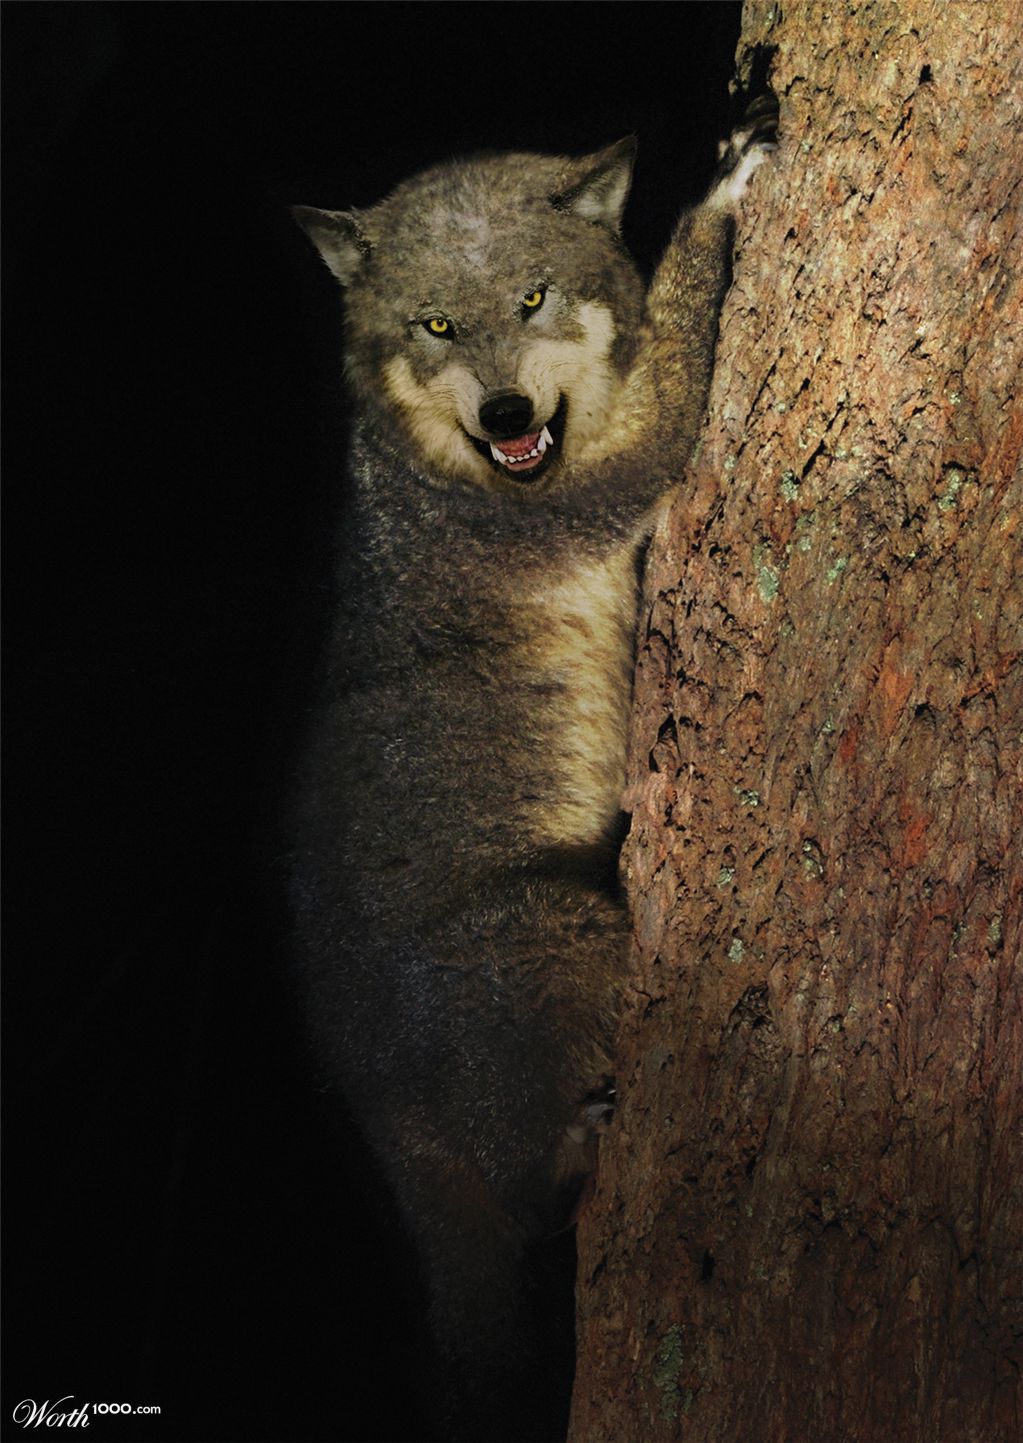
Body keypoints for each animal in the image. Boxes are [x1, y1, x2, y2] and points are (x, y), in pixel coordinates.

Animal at [290, 96, 776, 1441]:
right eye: (436, 326)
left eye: (533, 297)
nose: (508, 417)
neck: (448, 467)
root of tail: (379, 1115)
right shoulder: (574, 499)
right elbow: (674, 378)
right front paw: (722, 184)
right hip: (541, 936)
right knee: (521, 1195)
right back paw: (575, 1152)